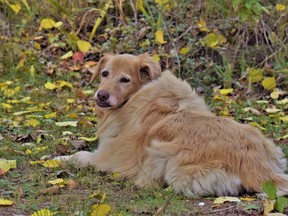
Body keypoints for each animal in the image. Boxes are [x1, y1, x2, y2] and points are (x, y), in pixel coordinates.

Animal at [56, 53, 288, 197]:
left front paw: (58, 159)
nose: (101, 95)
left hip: (161, 155)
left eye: (125, 80)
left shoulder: (108, 158)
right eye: (105, 74)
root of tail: (256, 165)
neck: (135, 97)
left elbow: (79, 155)